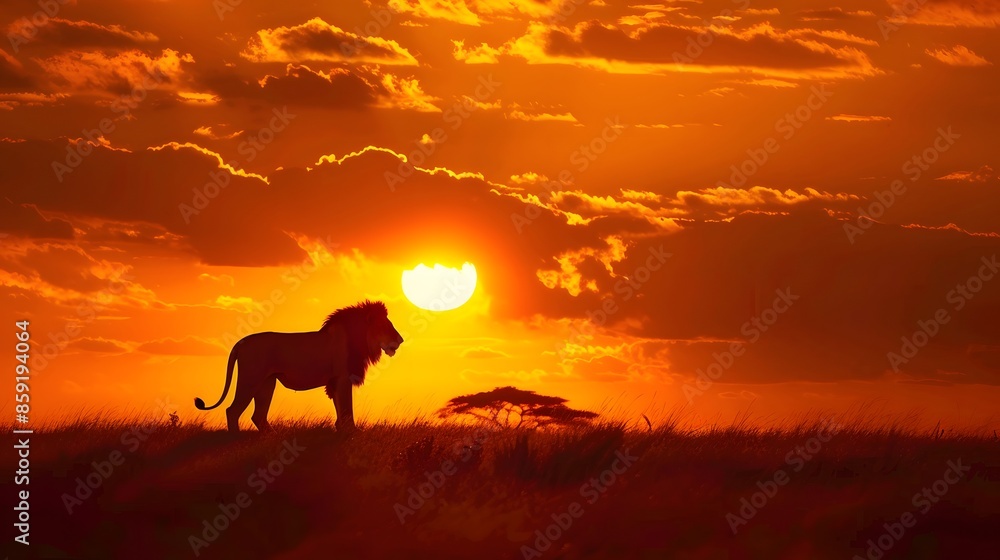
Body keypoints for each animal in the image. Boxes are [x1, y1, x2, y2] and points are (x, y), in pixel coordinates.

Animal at [194, 299, 403, 432]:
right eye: (386, 325)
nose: (401, 340)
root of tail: (241, 342)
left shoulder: (334, 382)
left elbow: (339, 408)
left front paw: (340, 430)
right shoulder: (343, 378)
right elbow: (346, 409)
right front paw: (352, 432)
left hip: (267, 383)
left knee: (258, 416)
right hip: (250, 380)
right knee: (232, 411)